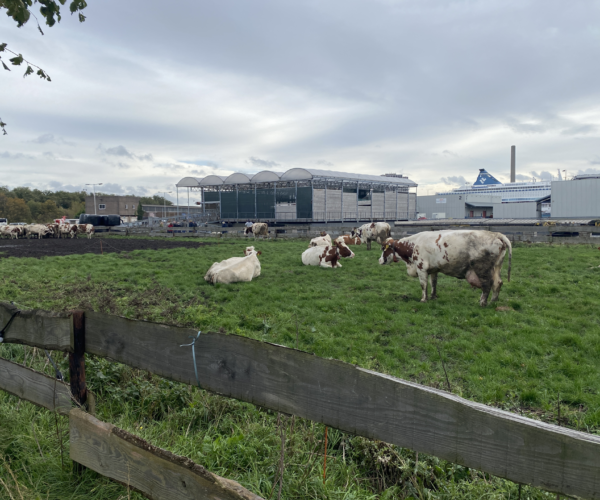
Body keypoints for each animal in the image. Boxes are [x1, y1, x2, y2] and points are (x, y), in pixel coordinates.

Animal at [380, 229, 510, 306]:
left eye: (383, 249)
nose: (379, 260)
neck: (414, 244)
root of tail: (496, 234)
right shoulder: (433, 270)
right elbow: (433, 283)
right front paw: (433, 297)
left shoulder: (421, 268)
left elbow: (423, 285)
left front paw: (423, 299)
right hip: (496, 267)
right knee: (498, 283)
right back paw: (493, 301)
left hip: (483, 270)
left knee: (487, 285)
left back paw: (482, 302)